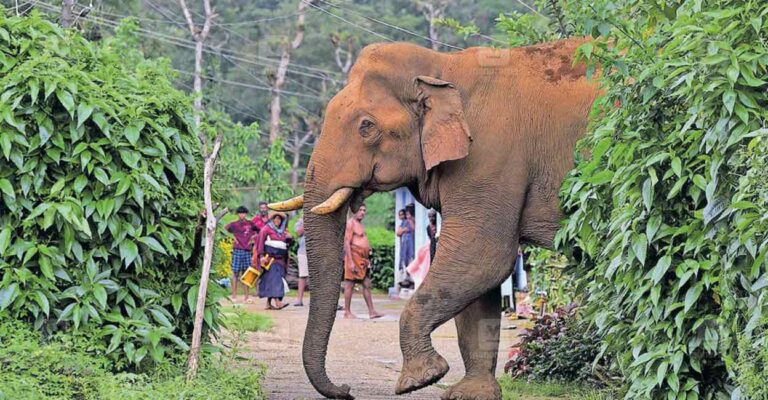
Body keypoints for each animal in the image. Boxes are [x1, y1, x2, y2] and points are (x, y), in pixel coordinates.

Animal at [269, 38, 600, 399]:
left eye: (366, 127)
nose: (346, 389)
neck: (442, 67)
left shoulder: (489, 157)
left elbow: (481, 257)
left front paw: (419, 379)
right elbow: (478, 282)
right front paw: (469, 393)